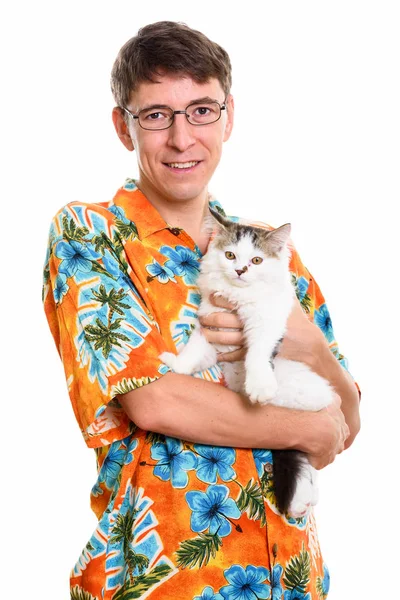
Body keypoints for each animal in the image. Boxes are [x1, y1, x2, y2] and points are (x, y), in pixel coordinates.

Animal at [159, 209, 334, 516]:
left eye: (256, 260)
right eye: (230, 255)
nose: (241, 270)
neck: (237, 297)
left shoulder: (266, 322)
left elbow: (257, 353)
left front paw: (259, 385)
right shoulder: (210, 329)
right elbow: (193, 352)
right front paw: (176, 364)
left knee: (303, 454)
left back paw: (301, 500)